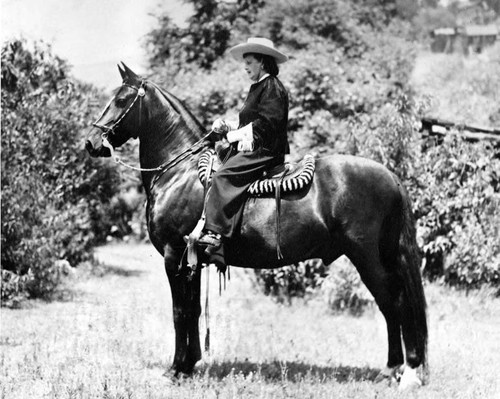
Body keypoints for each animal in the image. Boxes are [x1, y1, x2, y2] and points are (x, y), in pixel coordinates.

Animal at [85, 65, 426, 390]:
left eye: (121, 100)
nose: (91, 142)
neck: (179, 172)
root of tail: (390, 176)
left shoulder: (175, 256)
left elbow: (179, 312)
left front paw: (175, 369)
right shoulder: (191, 261)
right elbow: (193, 311)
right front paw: (190, 364)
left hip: (368, 258)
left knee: (394, 303)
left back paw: (405, 371)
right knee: (393, 305)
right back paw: (395, 369)